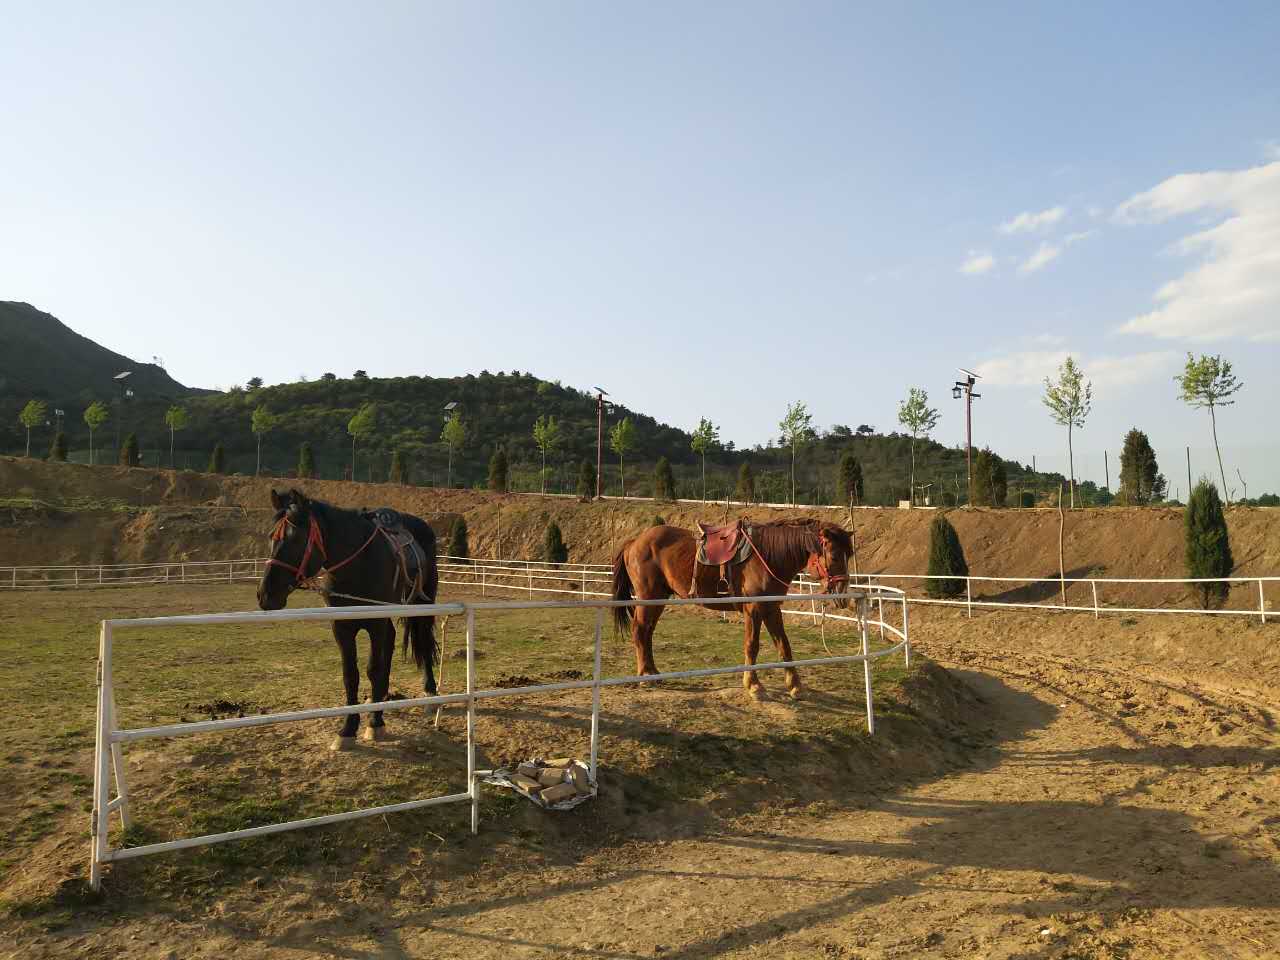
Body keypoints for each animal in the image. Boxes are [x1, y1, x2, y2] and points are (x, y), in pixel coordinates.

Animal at [257, 488, 442, 752]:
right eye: (271, 536)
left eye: (295, 540)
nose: (265, 596)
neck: (358, 564)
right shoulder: (341, 627)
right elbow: (350, 675)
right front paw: (348, 729)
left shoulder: (375, 623)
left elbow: (373, 669)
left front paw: (375, 723)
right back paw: (380, 696)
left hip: (422, 604)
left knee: (423, 643)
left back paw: (429, 694)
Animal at [606, 522, 849, 701]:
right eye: (835, 556)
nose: (842, 593)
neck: (768, 556)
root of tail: (634, 542)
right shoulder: (754, 609)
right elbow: (752, 646)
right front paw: (754, 686)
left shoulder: (771, 608)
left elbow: (784, 646)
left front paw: (795, 687)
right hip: (648, 597)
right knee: (640, 630)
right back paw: (645, 675)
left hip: (659, 598)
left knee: (647, 632)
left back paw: (654, 672)